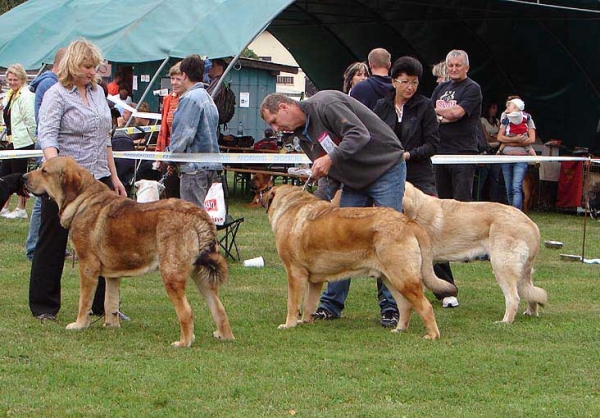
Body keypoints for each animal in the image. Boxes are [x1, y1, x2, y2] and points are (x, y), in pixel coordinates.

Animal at [24, 156, 234, 346]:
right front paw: (111, 325)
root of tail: (196, 214)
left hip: (172, 274)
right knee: (219, 308)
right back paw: (225, 336)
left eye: (44, 171)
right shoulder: (112, 274)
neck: (82, 199)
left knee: (186, 311)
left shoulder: (88, 267)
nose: (24, 177)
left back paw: (184, 342)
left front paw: (79, 324)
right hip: (201, 274)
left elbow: (84, 301)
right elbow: (110, 301)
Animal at [264, 186, 458, 340]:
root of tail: (408, 222)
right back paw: (399, 329)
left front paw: (289, 324)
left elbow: (292, 303)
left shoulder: (295, 273)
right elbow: (309, 304)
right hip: (391, 278)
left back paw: (432, 335)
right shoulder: (315, 280)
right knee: (406, 305)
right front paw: (305, 321)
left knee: (425, 307)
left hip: (403, 279)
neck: (290, 207)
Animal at [400, 180, 548, 324]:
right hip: (520, 269)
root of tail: (531, 224)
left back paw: (505, 322)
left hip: (502, 266)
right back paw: (531, 313)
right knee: (530, 292)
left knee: (513, 298)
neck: (416, 211)